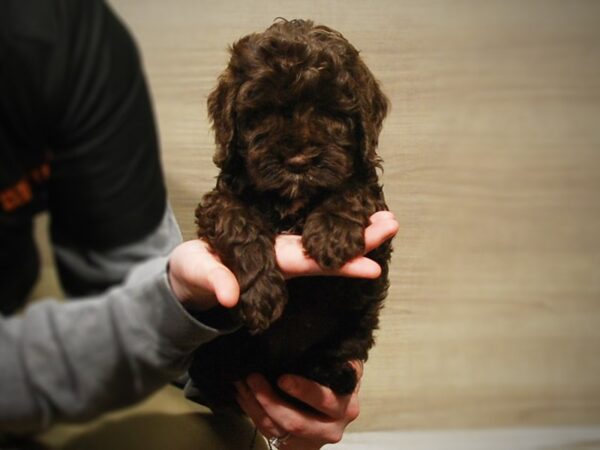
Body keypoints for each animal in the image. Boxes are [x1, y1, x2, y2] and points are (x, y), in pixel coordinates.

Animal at [190, 18, 392, 408]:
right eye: (262, 112)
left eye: (330, 111)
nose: (298, 162)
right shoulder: (219, 200)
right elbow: (237, 220)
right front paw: (261, 295)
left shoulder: (371, 196)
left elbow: (353, 189)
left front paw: (331, 235)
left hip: (356, 321)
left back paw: (335, 374)